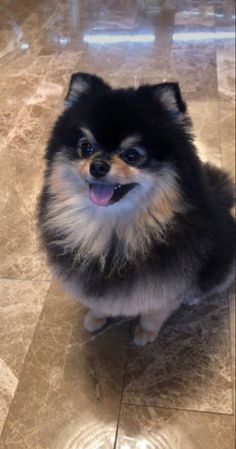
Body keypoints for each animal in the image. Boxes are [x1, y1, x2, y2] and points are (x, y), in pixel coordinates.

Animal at [37, 72, 234, 346]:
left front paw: (145, 334)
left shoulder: (169, 284)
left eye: (132, 155)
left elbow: (155, 312)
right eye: (86, 147)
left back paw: (193, 296)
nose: (97, 166)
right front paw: (96, 317)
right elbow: (99, 302)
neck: (115, 225)